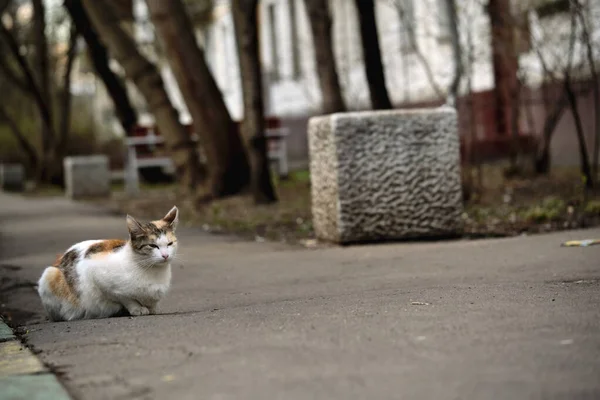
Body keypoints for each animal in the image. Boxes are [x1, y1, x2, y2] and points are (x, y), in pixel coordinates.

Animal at [36, 206, 178, 322]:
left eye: (170, 244)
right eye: (153, 246)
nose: (165, 255)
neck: (153, 271)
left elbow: (152, 302)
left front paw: (152, 307)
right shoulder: (99, 279)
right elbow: (126, 298)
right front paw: (137, 309)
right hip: (49, 275)